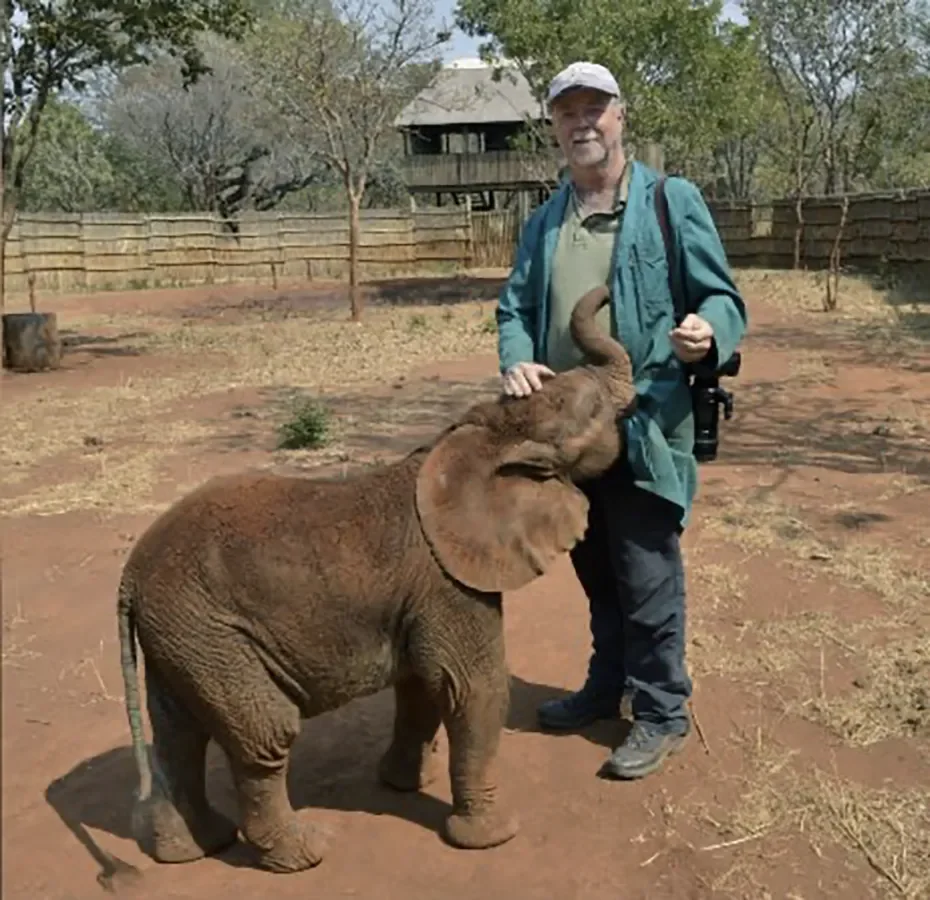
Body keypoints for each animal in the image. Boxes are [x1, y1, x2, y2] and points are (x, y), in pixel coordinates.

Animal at [115, 284, 637, 876]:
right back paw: (303, 853)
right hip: (209, 633)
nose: (608, 288)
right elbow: (473, 689)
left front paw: (406, 784)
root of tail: (130, 579)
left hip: (178, 638)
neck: (478, 436)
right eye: (592, 409)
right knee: (264, 733)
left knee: (178, 733)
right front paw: (495, 837)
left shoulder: (416, 598)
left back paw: (192, 849)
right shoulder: (448, 582)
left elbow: (422, 688)